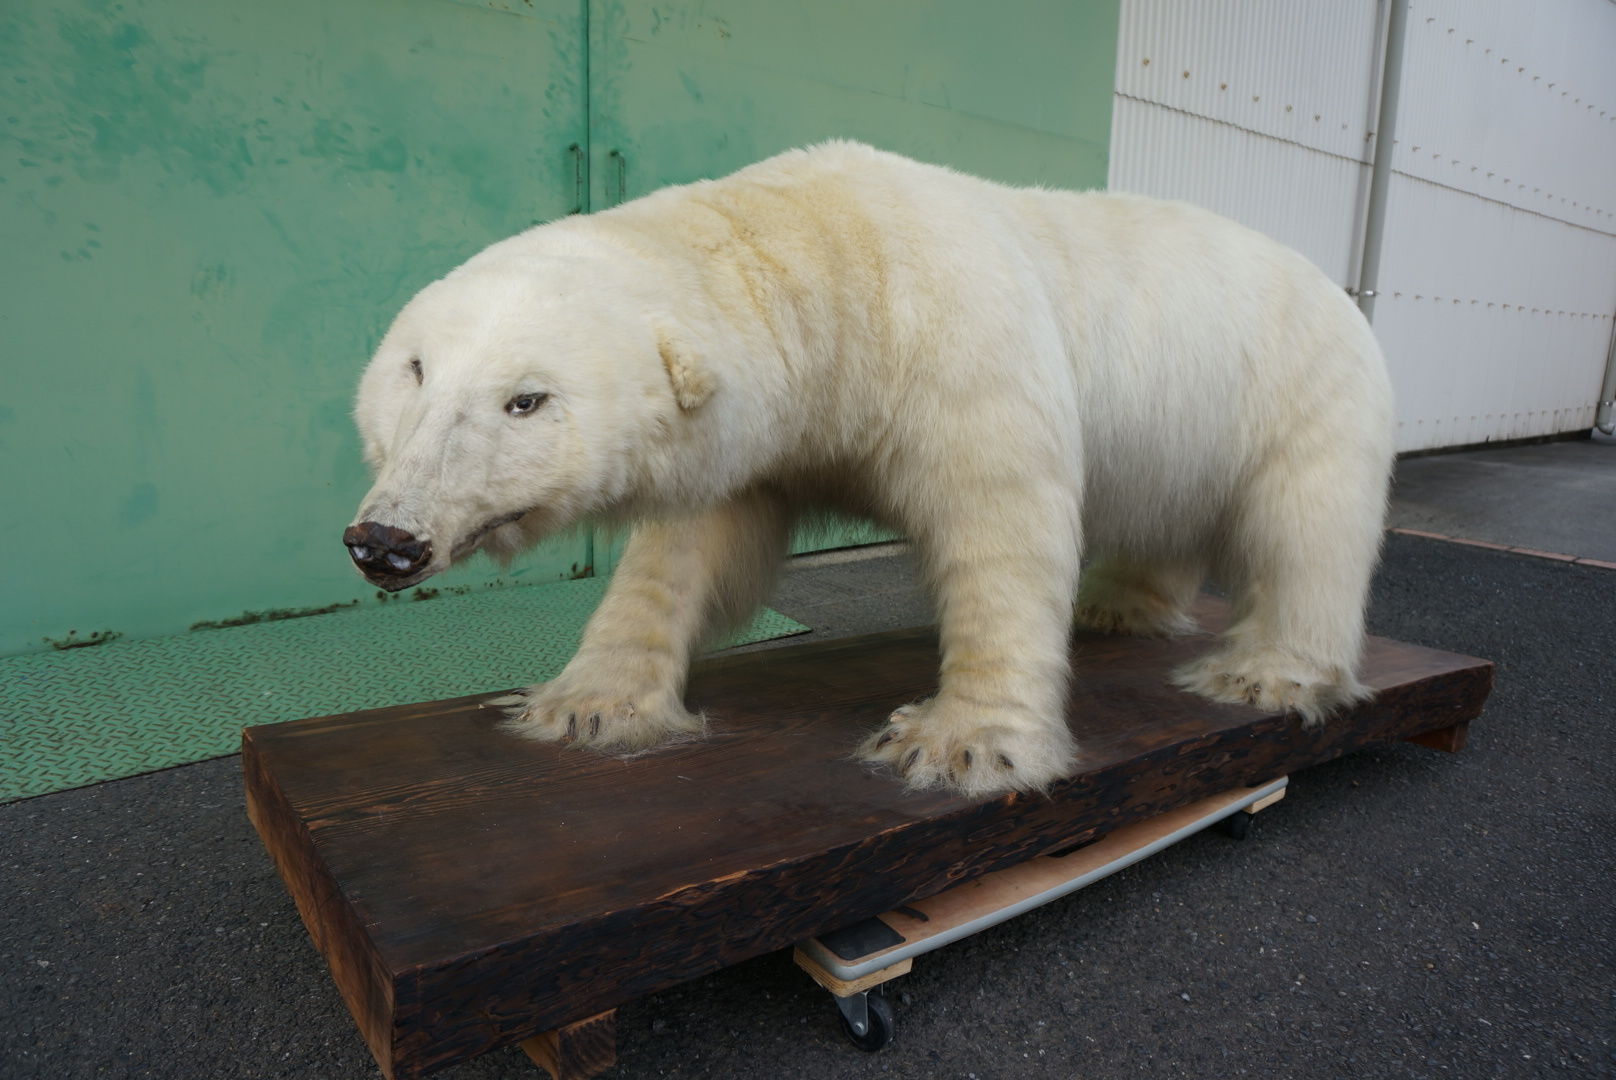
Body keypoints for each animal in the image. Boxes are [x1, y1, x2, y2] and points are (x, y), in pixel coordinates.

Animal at [344, 141, 1394, 797]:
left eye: (526, 399)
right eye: (416, 369)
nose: (384, 539)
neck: (834, 265)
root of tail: (1341, 288)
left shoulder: (961, 346)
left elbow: (1000, 525)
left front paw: (958, 745)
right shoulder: (766, 429)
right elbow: (691, 552)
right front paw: (586, 706)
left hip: (1304, 383)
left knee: (1308, 526)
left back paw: (1269, 677)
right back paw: (1118, 608)